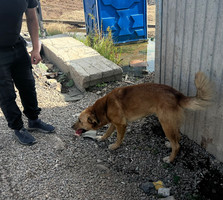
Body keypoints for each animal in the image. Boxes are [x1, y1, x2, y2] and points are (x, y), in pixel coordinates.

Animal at [72, 72, 213, 162]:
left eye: (80, 120)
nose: (71, 126)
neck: (104, 107)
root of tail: (177, 94)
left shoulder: (121, 124)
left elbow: (118, 137)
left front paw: (115, 146)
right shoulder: (114, 122)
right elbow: (108, 132)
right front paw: (101, 138)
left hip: (165, 124)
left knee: (177, 145)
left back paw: (170, 159)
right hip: (171, 123)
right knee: (177, 137)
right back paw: (169, 144)